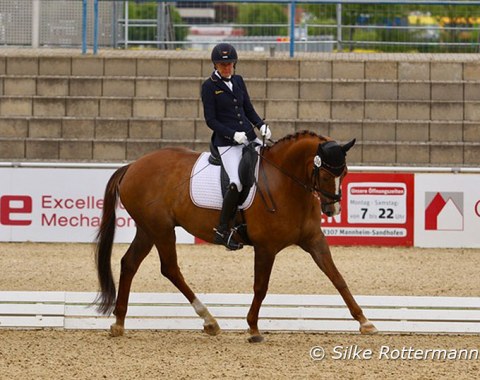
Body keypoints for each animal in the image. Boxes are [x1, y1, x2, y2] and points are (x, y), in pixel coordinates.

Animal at [94, 130, 378, 342]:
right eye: (327, 173)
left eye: (345, 172)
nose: (333, 210)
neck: (285, 182)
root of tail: (133, 165)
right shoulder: (266, 247)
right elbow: (261, 287)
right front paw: (253, 328)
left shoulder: (314, 240)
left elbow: (337, 278)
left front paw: (364, 321)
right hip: (161, 229)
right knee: (170, 269)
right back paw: (209, 320)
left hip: (148, 229)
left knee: (129, 263)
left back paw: (119, 323)